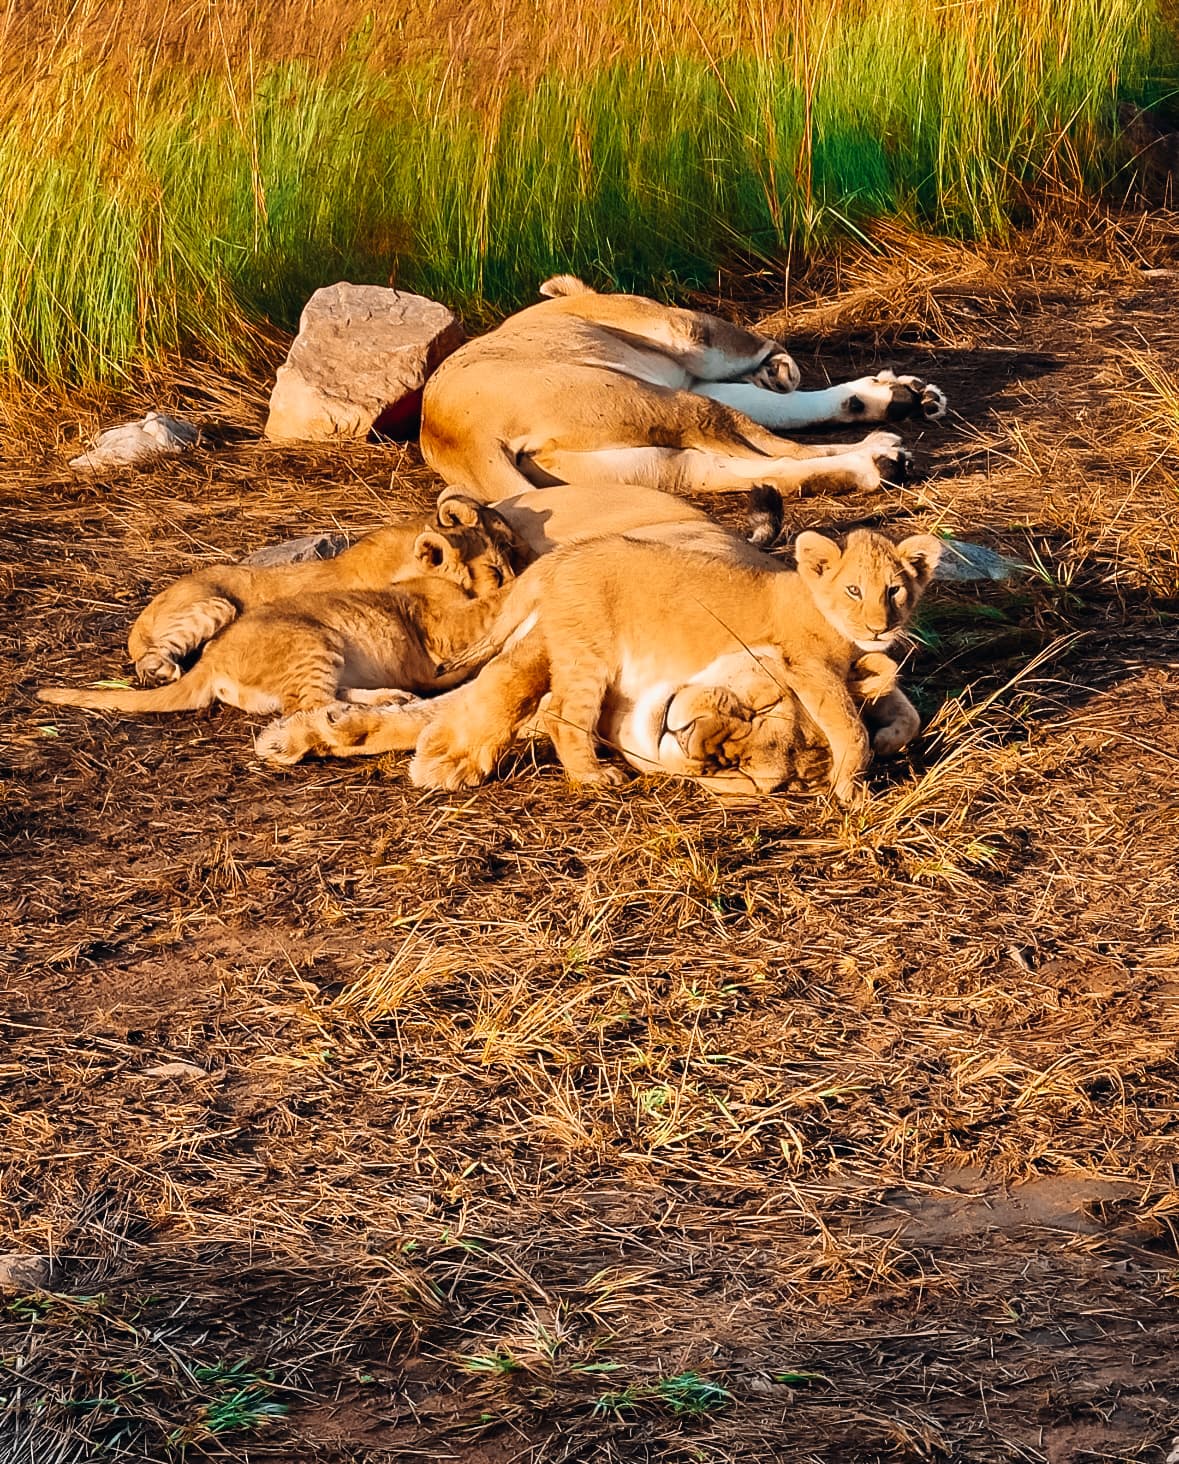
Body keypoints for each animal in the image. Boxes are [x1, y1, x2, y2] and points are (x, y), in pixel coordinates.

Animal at [38, 576, 514, 718]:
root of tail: (211, 660)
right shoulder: (448, 624)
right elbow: (495, 599)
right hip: (315, 639)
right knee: (310, 706)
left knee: (318, 699)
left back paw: (392, 698)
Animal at [124, 495, 525, 685]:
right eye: (494, 569)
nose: (518, 568)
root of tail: (140, 619)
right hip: (218, 604)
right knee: (153, 655)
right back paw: (161, 670)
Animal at [256, 527, 941, 800]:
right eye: (854, 590)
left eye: (896, 591)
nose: (881, 626)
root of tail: (561, 558)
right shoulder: (807, 665)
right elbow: (849, 721)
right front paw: (852, 783)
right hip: (588, 649)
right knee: (561, 712)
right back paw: (591, 776)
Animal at [419, 276, 947, 504]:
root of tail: (459, 438)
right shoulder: (685, 332)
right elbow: (768, 370)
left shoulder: (692, 375)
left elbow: (784, 406)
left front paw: (897, 393)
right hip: (669, 402)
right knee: (776, 452)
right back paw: (881, 452)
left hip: (652, 464)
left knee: (760, 469)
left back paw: (879, 453)